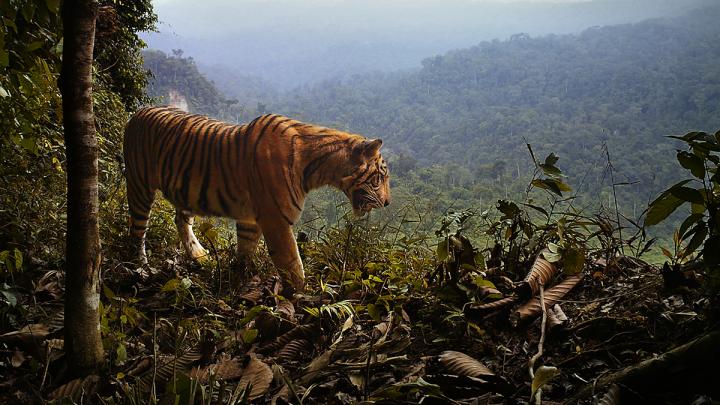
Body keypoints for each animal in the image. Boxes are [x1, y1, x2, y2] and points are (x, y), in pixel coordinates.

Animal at [123, 106, 391, 295]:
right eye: (380, 177)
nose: (388, 203)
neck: (318, 168)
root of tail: (139, 112)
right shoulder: (276, 220)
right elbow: (292, 263)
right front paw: (303, 296)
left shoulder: (250, 219)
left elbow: (245, 251)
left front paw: (238, 280)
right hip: (139, 187)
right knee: (137, 231)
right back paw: (139, 267)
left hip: (185, 192)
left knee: (180, 219)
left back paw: (200, 255)